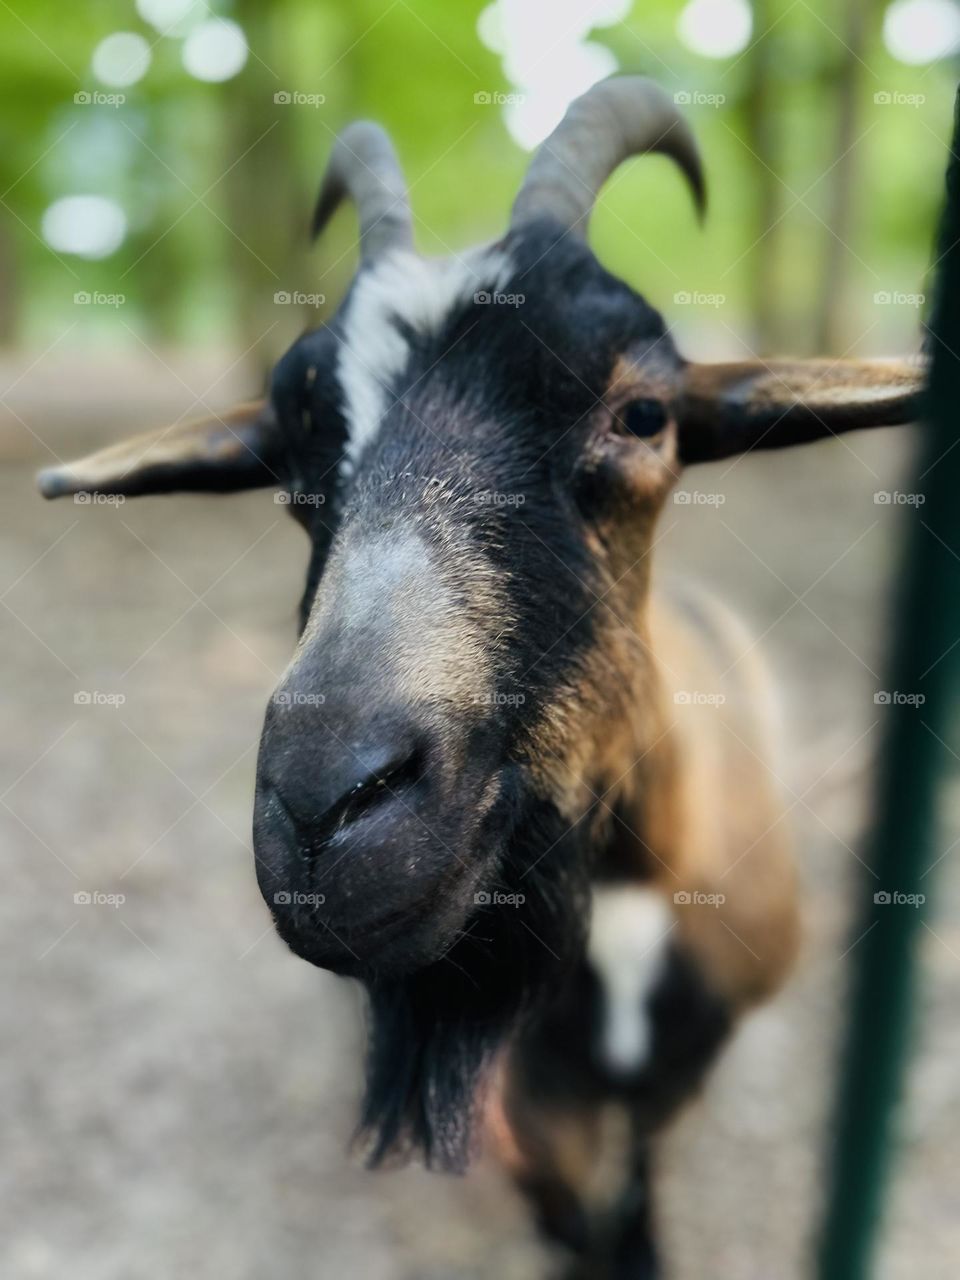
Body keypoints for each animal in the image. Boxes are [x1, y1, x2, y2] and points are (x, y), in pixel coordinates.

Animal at [39, 77, 922, 1278]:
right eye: (291, 452)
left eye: (644, 414)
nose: (327, 806)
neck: (634, 889)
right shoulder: (538, 1098)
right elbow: (576, 1214)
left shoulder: (680, 1067)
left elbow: (636, 1183)